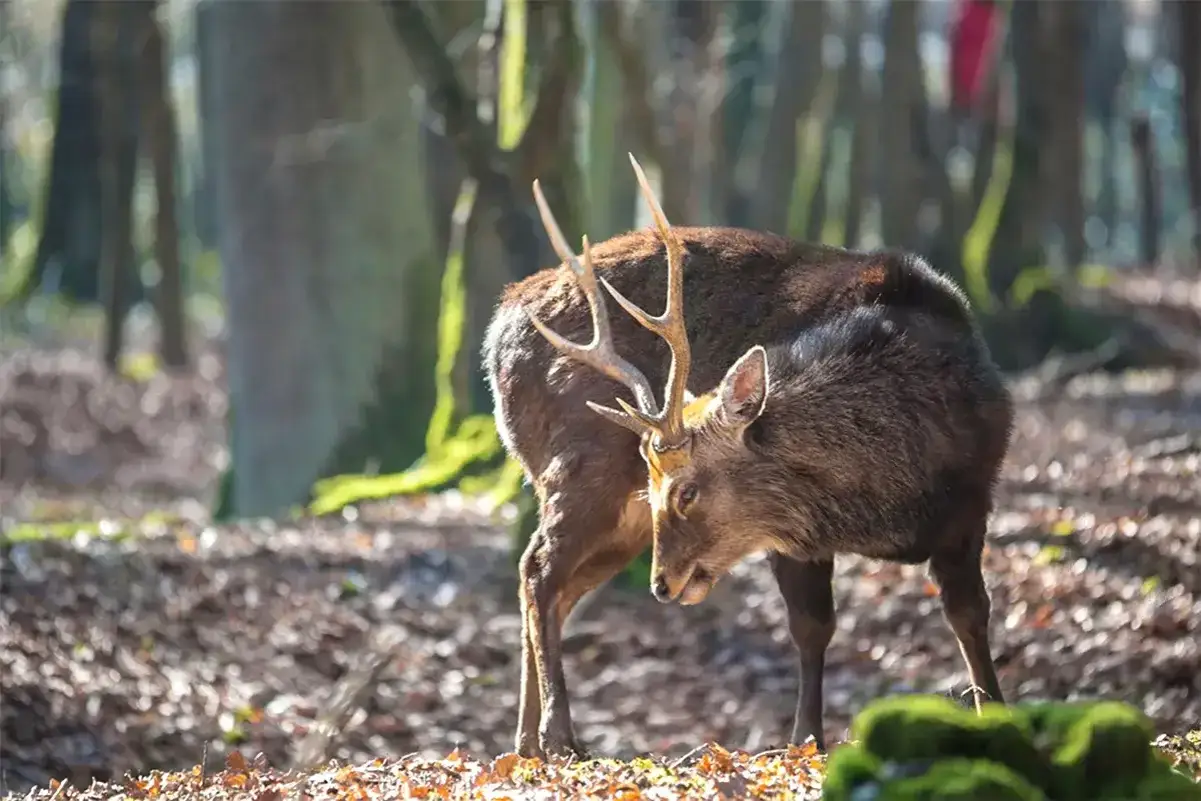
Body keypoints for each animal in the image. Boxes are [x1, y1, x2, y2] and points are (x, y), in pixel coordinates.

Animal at [483, 155, 1014, 760]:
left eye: (686, 491)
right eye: (656, 484)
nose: (662, 585)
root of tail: (496, 334)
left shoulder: (972, 502)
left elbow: (970, 615)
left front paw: (997, 713)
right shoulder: (793, 534)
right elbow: (812, 626)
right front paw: (805, 741)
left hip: (614, 514)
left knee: (554, 585)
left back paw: (524, 742)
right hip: (578, 468)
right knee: (539, 570)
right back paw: (558, 736)